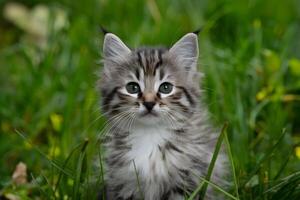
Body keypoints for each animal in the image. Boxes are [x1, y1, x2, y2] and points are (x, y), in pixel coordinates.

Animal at [99, 32, 227, 199]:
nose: (149, 103)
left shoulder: (187, 181)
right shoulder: (122, 182)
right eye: (132, 88)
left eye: (166, 88)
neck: (150, 135)